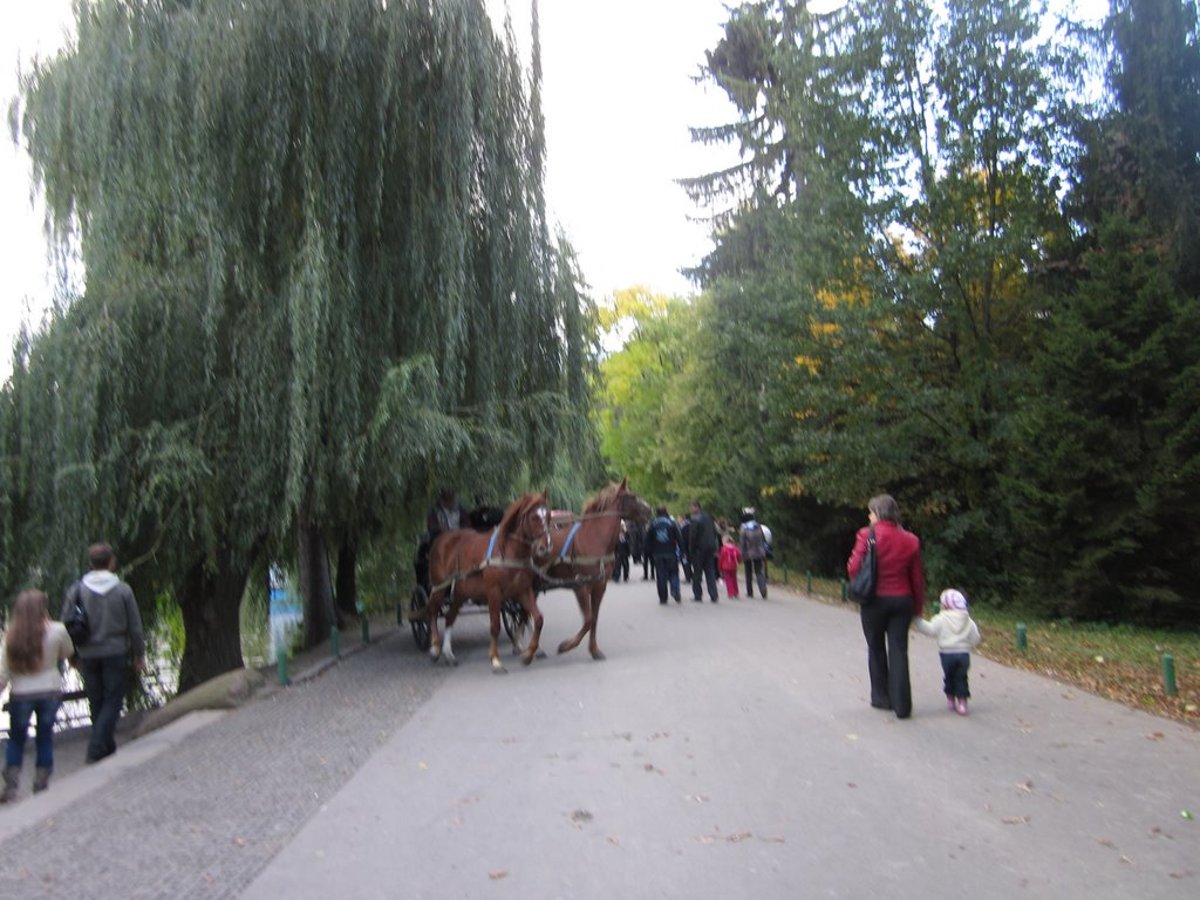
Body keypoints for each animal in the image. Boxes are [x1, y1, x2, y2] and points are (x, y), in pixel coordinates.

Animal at [427, 489, 549, 672]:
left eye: (548, 515)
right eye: (534, 517)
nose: (545, 547)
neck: (507, 552)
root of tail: (442, 538)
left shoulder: (522, 591)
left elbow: (538, 619)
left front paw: (528, 654)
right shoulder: (494, 593)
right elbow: (495, 626)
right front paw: (496, 660)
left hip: (460, 594)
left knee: (449, 617)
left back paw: (448, 653)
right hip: (440, 587)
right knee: (433, 611)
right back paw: (435, 648)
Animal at [540, 480, 652, 662]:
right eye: (631, 496)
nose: (649, 509)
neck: (593, 539)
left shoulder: (599, 586)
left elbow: (594, 619)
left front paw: (594, 650)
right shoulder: (580, 587)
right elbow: (588, 620)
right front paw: (566, 645)